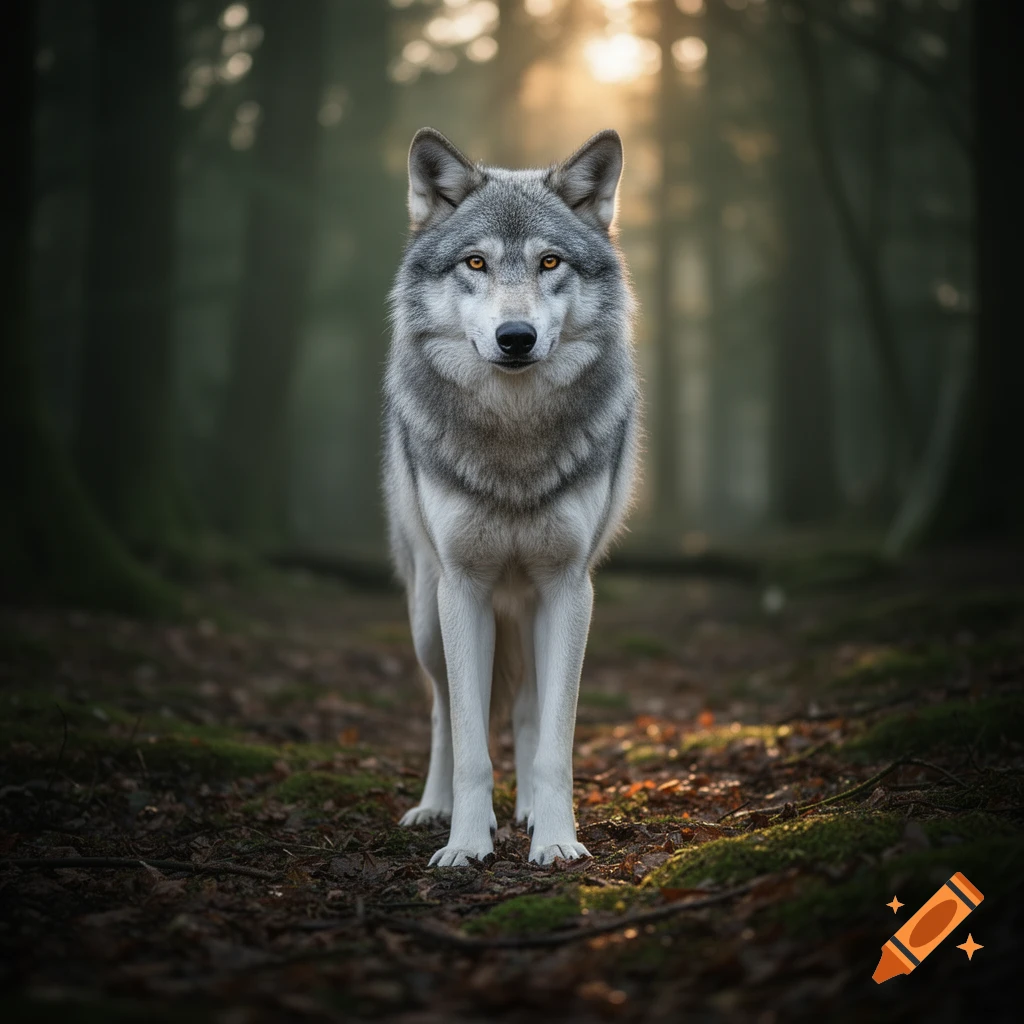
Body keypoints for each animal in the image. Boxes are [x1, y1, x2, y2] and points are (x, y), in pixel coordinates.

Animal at [382, 127, 640, 866]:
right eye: (476, 262)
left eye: (550, 261)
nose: (516, 337)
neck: (515, 441)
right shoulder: (462, 588)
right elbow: (471, 741)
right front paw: (467, 844)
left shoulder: (569, 589)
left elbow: (554, 739)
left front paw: (555, 840)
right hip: (426, 615)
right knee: (442, 709)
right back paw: (434, 808)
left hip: (527, 608)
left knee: (525, 705)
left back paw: (524, 810)